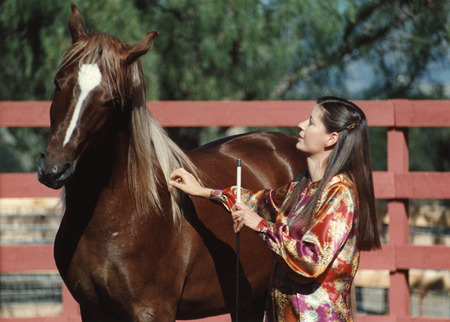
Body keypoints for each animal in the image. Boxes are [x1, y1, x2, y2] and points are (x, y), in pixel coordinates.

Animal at [37, 3, 306, 320]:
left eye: (112, 101)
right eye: (59, 83)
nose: (54, 168)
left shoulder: (152, 309)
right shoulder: (91, 309)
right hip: (249, 299)